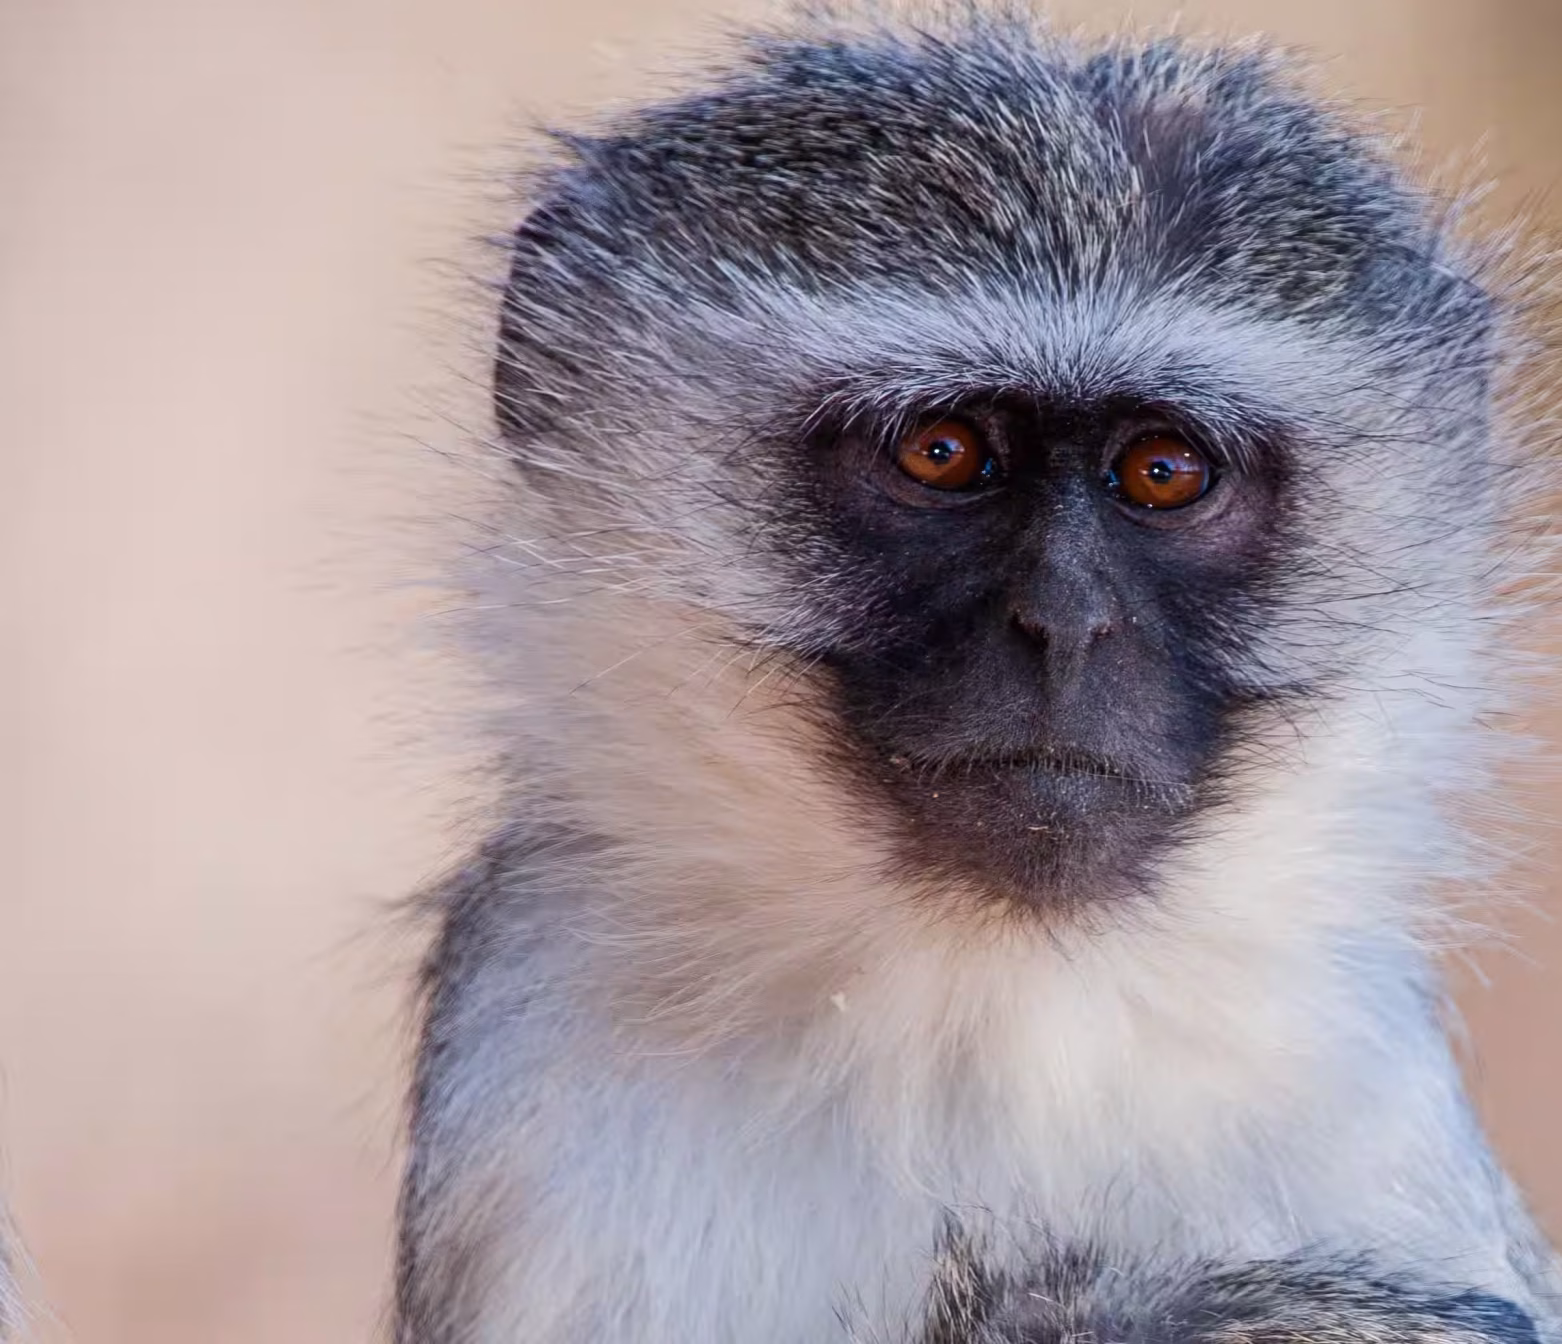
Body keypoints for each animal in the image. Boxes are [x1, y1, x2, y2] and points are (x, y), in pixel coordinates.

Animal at [394, 8, 1562, 1343]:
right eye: (941, 452)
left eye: (1163, 471)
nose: (1064, 625)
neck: (986, 1008)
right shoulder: (531, 1040)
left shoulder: (1361, 1089)